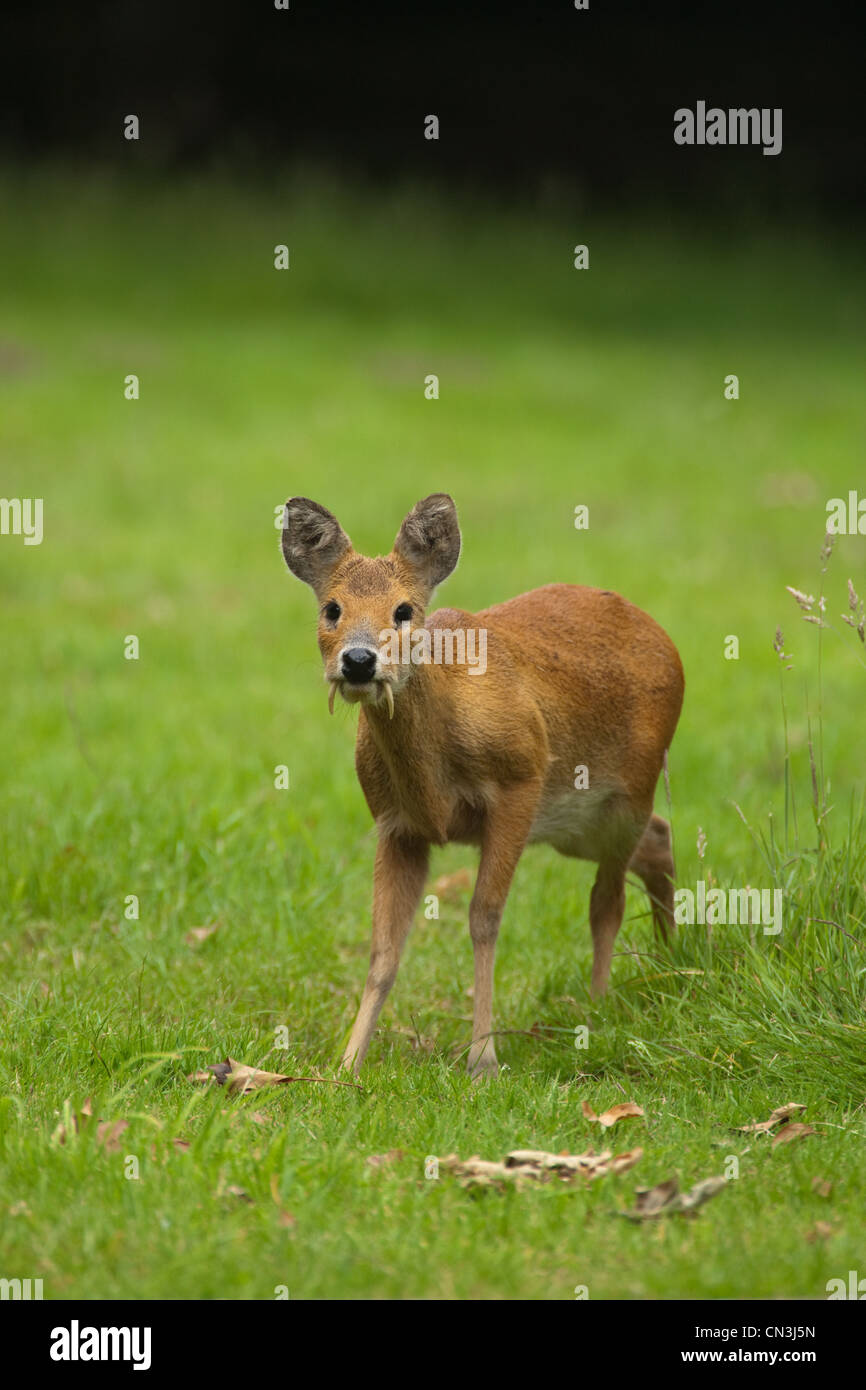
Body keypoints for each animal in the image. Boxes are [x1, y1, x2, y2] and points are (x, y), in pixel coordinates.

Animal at [281, 493, 684, 1077]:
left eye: (404, 610)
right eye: (331, 608)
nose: (357, 661)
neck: (434, 776)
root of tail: (666, 640)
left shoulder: (520, 780)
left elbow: (484, 919)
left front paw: (483, 1059)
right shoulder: (396, 824)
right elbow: (384, 948)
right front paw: (347, 1064)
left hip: (626, 791)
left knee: (606, 897)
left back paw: (600, 1002)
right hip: (577, 824)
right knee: (659, 838)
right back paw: (668, 963)